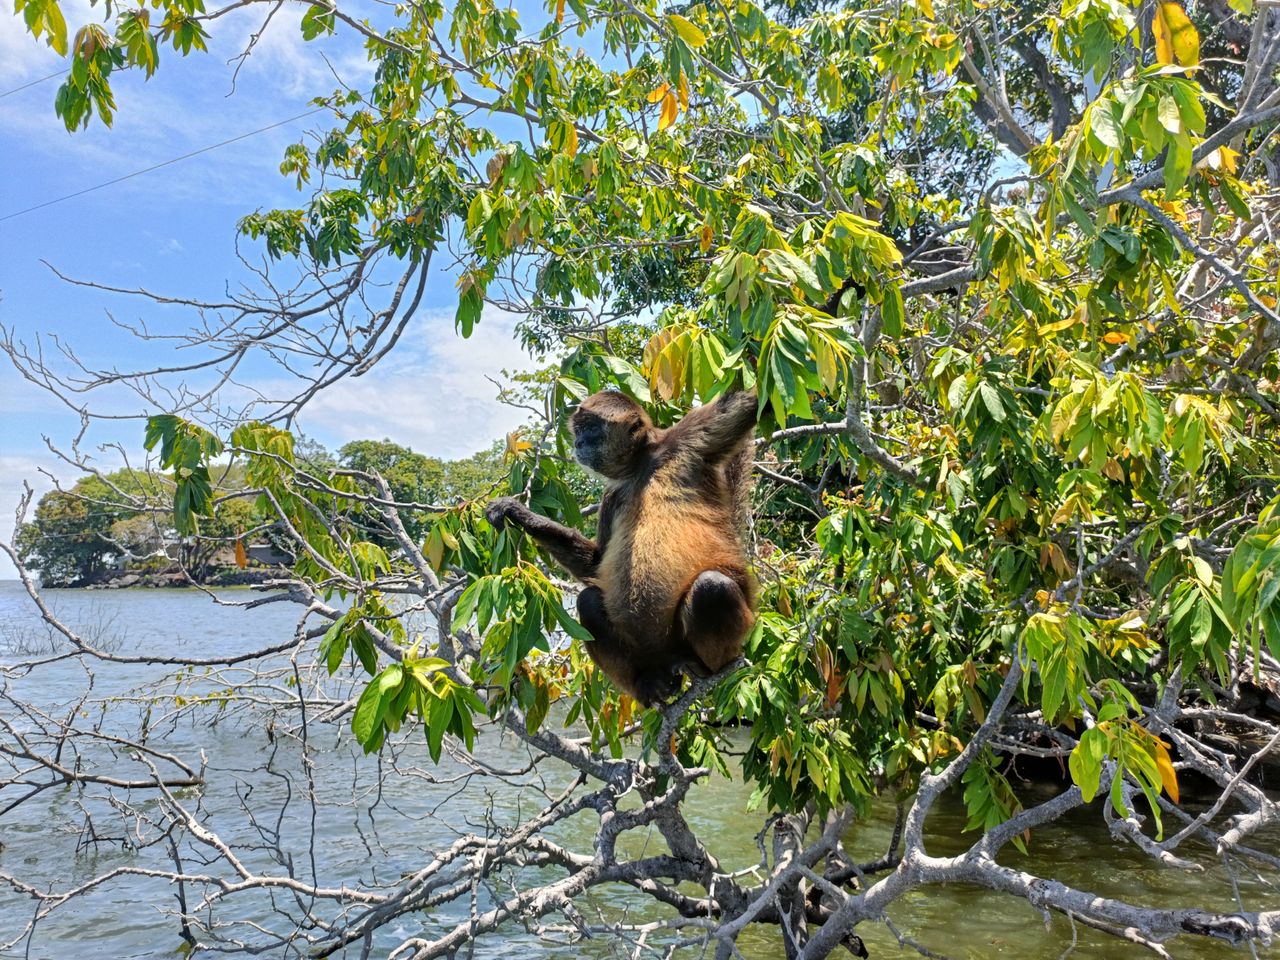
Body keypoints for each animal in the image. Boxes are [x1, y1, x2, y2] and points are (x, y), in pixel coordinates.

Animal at [485, 389, 759, 706]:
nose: (578, 443)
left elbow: (749, 403)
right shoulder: (612, 495)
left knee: (712, 588)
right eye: (579, 430)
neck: (639, 468)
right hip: (646, 652)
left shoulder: (686, 440)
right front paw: (519, 514)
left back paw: (704, 667)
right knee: (589, 601)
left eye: (591, 429)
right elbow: (596, 565)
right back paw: (649, 683)